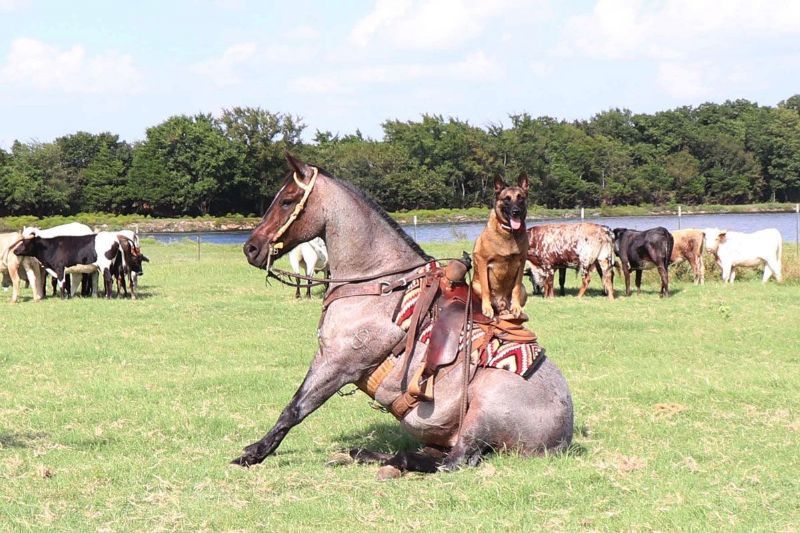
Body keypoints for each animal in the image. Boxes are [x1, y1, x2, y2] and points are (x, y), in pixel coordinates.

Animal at [236, 154, 573, 473]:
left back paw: (393, 460)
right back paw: (362, 454)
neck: (377, 284)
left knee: (455, 461)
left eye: (287, 201)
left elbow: (295, 408)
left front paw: (253, 453)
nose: (251, 248)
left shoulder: (338, 363)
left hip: (481, 412)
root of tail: (564, 435)